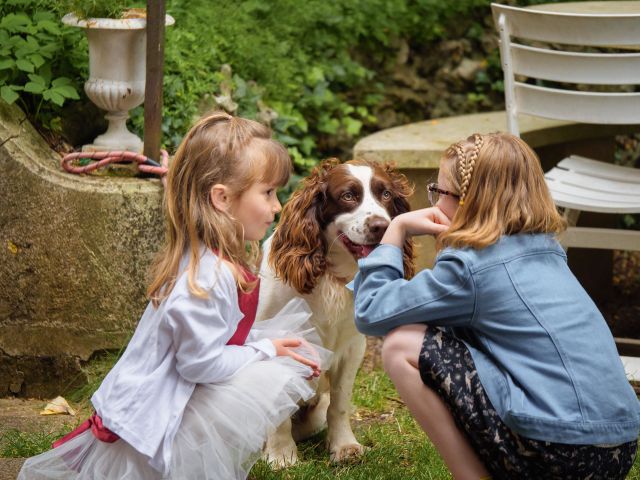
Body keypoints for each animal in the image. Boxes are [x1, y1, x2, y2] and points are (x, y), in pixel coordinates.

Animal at [255, 158, 416, 464]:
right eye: (348, 195)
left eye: (386, 194)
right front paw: (281, 455)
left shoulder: (353, 346)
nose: (381, 226)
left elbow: (340, 401)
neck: (331, 275)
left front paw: (344, 445)